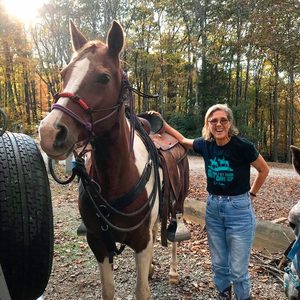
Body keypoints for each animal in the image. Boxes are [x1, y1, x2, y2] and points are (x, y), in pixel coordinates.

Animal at [38, 19, 190, 298]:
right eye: (64, 74)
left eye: (103, 77)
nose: (49, 132)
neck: (116, 177)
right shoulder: (98, 243)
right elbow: (108, 290)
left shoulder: (140, 242)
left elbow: (142, 290)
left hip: (178, 202)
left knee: (172, 232)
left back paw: (173, 271)